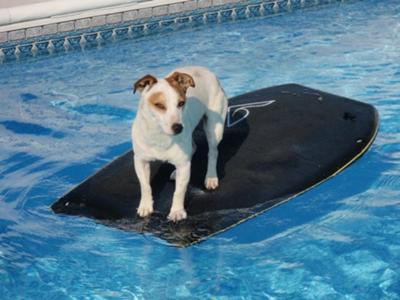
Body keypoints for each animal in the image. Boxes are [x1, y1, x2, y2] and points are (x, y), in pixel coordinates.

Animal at [133, 67, 227, 223]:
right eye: (159, 105)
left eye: (181, 103)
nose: (178, 127)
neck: (160, 135)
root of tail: (206, 70)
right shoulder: (141, 161)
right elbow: (145, 186)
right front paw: (145, 206)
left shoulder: (183, 165)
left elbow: (179, 191)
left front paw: (177, 211)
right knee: (193, 148)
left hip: (214, 127)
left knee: (213, 152)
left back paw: (211, 177)